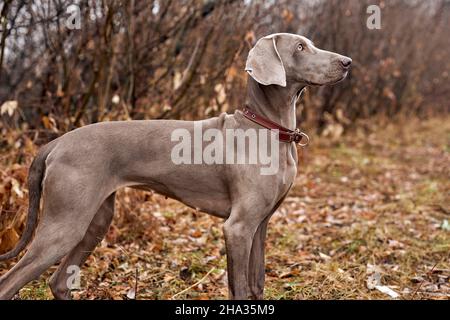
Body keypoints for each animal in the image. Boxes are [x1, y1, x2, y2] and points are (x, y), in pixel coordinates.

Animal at [0, 33, 350, 300]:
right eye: (300, 47)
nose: (347, 62)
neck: (266, 128)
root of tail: (55, 143)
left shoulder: (260, 224)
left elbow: (256, 285)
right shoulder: (238, 227)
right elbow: (238, 289)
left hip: (95, 221)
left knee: (58, 281)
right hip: (66, 222)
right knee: (10, 282)